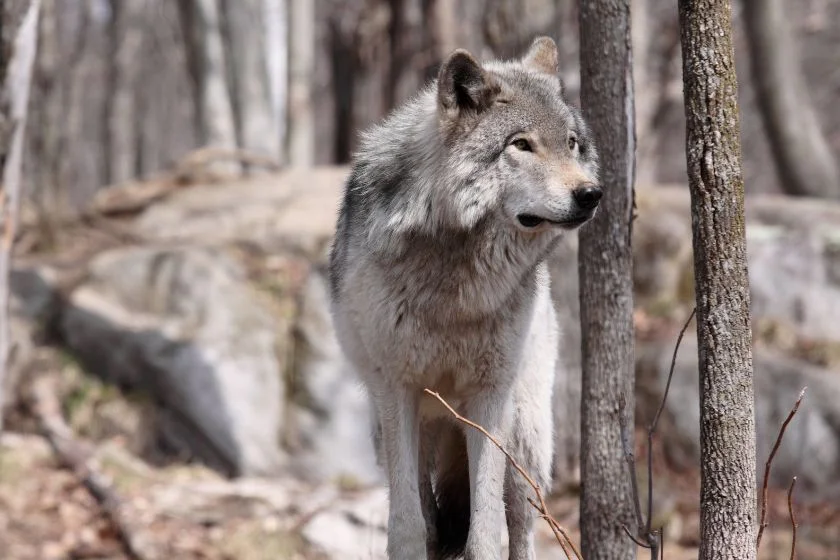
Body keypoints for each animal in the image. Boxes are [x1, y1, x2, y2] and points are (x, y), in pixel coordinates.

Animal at [326, 37, 596, 556]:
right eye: (521, 145)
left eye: (571, 144)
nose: (591, 193)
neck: (456, 281)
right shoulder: (398, 391)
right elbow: (408, 527)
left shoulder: (489, 394)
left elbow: (487, 529)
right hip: (396, 429)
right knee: (428, 512)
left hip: (526, 437)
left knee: (522, 522)